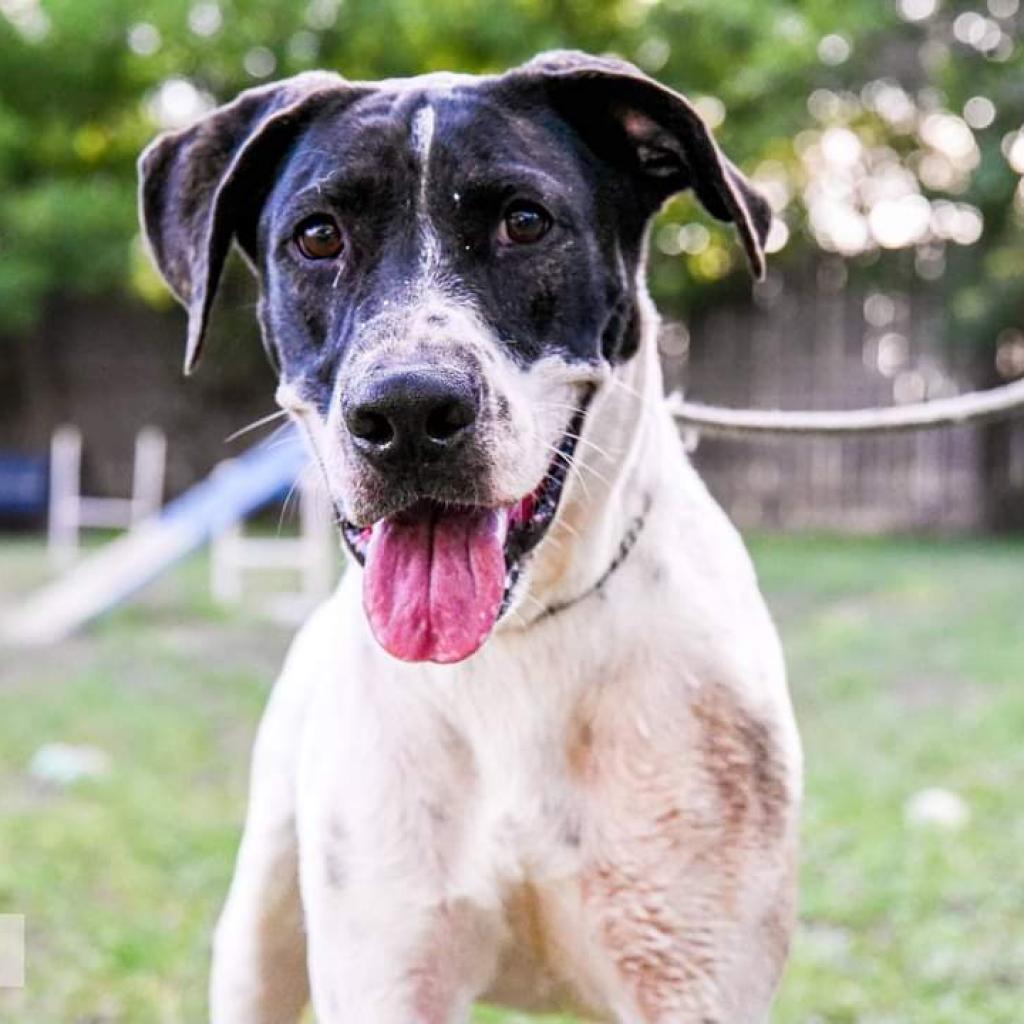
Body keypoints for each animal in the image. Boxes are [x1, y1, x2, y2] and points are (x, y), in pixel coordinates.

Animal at [140, 49, 802, 1024]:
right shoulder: (387, 964)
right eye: (317, 237)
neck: (517, 642)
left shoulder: (692, 975)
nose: (409, 411)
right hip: (259, 934)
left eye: (524, 223)